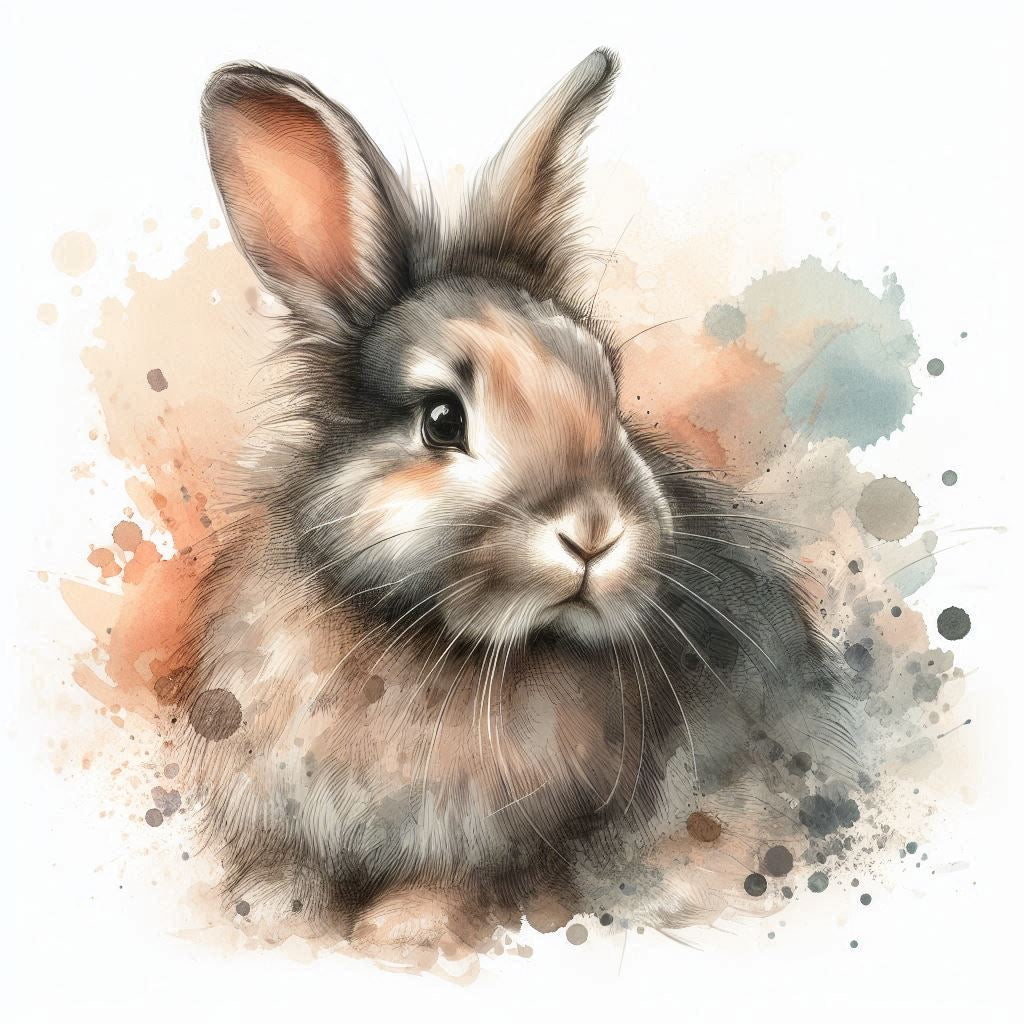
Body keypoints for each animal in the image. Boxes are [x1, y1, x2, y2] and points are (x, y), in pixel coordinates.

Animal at [173, 47, 855, 951]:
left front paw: (401, 933)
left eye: (610, 388)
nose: (594, 531)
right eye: (441, 419)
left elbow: (455, 896)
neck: (428, 641)